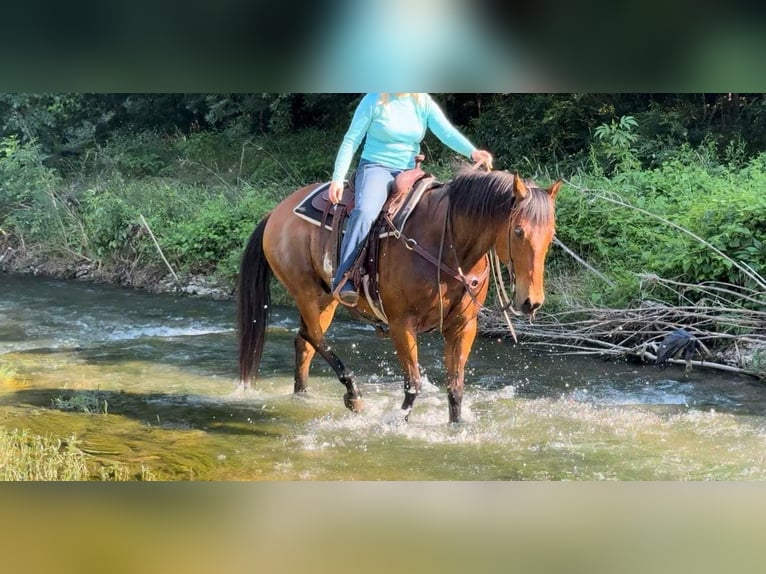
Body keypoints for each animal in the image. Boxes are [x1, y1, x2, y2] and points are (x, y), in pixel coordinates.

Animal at [237, 168, 560, 423]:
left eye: (551, 234)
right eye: (518, 231)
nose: (531, 301)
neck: (448, 245)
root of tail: (276, 212)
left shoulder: (463, 326)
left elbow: (455, 388)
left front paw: (456, 427)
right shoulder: (401, 323)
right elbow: (413, 383)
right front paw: (398, 421)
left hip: (326, 298)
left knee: (304, 343)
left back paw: (303, 396)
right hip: (306, 292)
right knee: (314, 336)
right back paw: (354, 394)